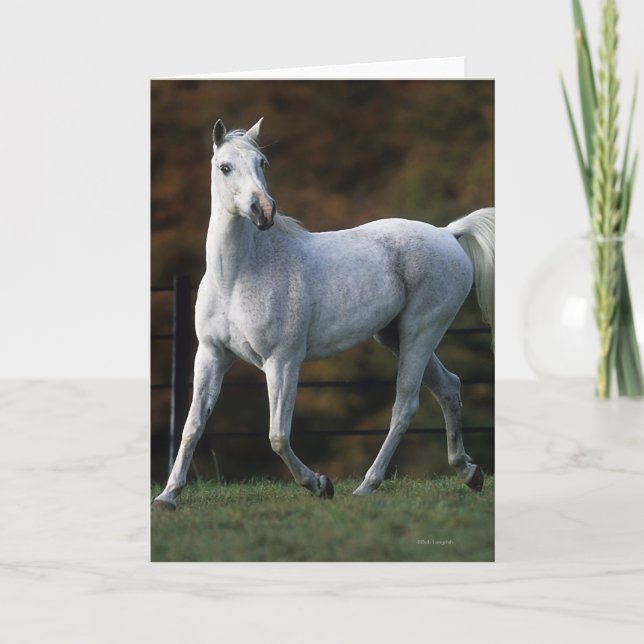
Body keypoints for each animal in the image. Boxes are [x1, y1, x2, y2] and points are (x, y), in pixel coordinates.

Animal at [152, 118, 494, 510]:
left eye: (262, 163)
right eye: (225, 167)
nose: (263, 211)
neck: (237, 277)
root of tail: (447, 233)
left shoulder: (283, 362)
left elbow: (278, 435)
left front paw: (319, 484)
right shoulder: (211, 356)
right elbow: (192, 426)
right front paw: (167, 496)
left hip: (420, 333)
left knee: (405, 405)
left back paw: (367, 485)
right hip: (395, 336)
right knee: (448, 387)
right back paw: (469, 473)